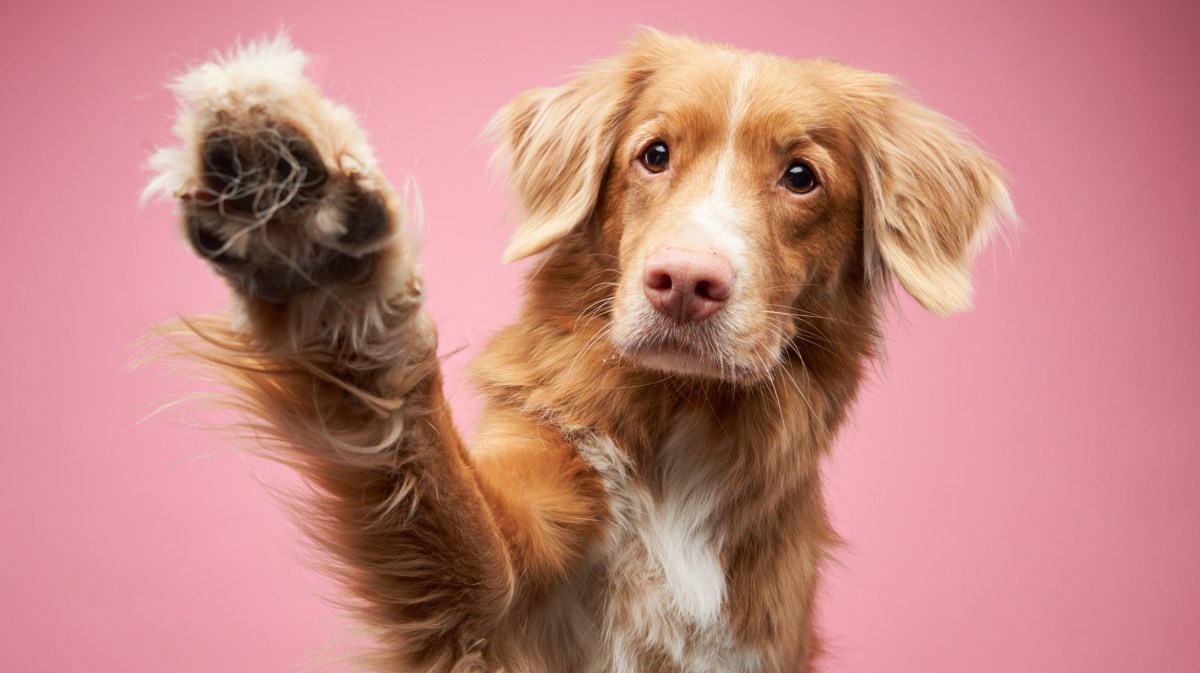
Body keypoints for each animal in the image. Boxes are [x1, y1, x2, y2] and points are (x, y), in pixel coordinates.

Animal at [147, 27, 1012, 671]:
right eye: (654, 154)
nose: (685, 282)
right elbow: (420, 463)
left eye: (802, 176)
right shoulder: (494, 599)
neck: (680, 427)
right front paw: (310, 247)